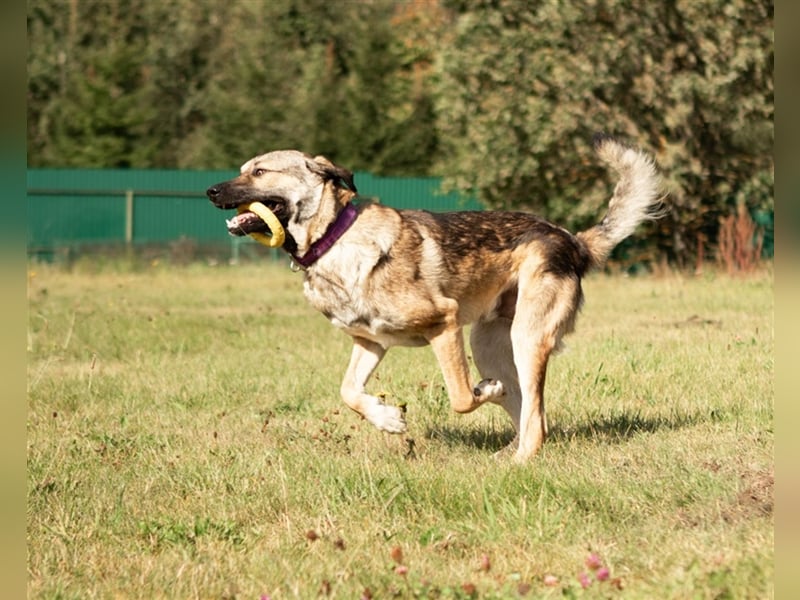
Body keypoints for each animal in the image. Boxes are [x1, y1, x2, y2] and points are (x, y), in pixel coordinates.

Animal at [206, 136, 664, 462]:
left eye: (260, 171)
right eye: (243, 169)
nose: (210, 191)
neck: (334, 239)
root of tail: (572, 240)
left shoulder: (444, 325)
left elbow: (461, 398)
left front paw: (484, 392)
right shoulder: (371, 342)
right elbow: (348, 391)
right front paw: (388, 419)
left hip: (525, 337)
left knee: (535, 417)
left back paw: (518, 454)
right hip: (488, 342)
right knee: (529, 413)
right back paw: (507, 452)